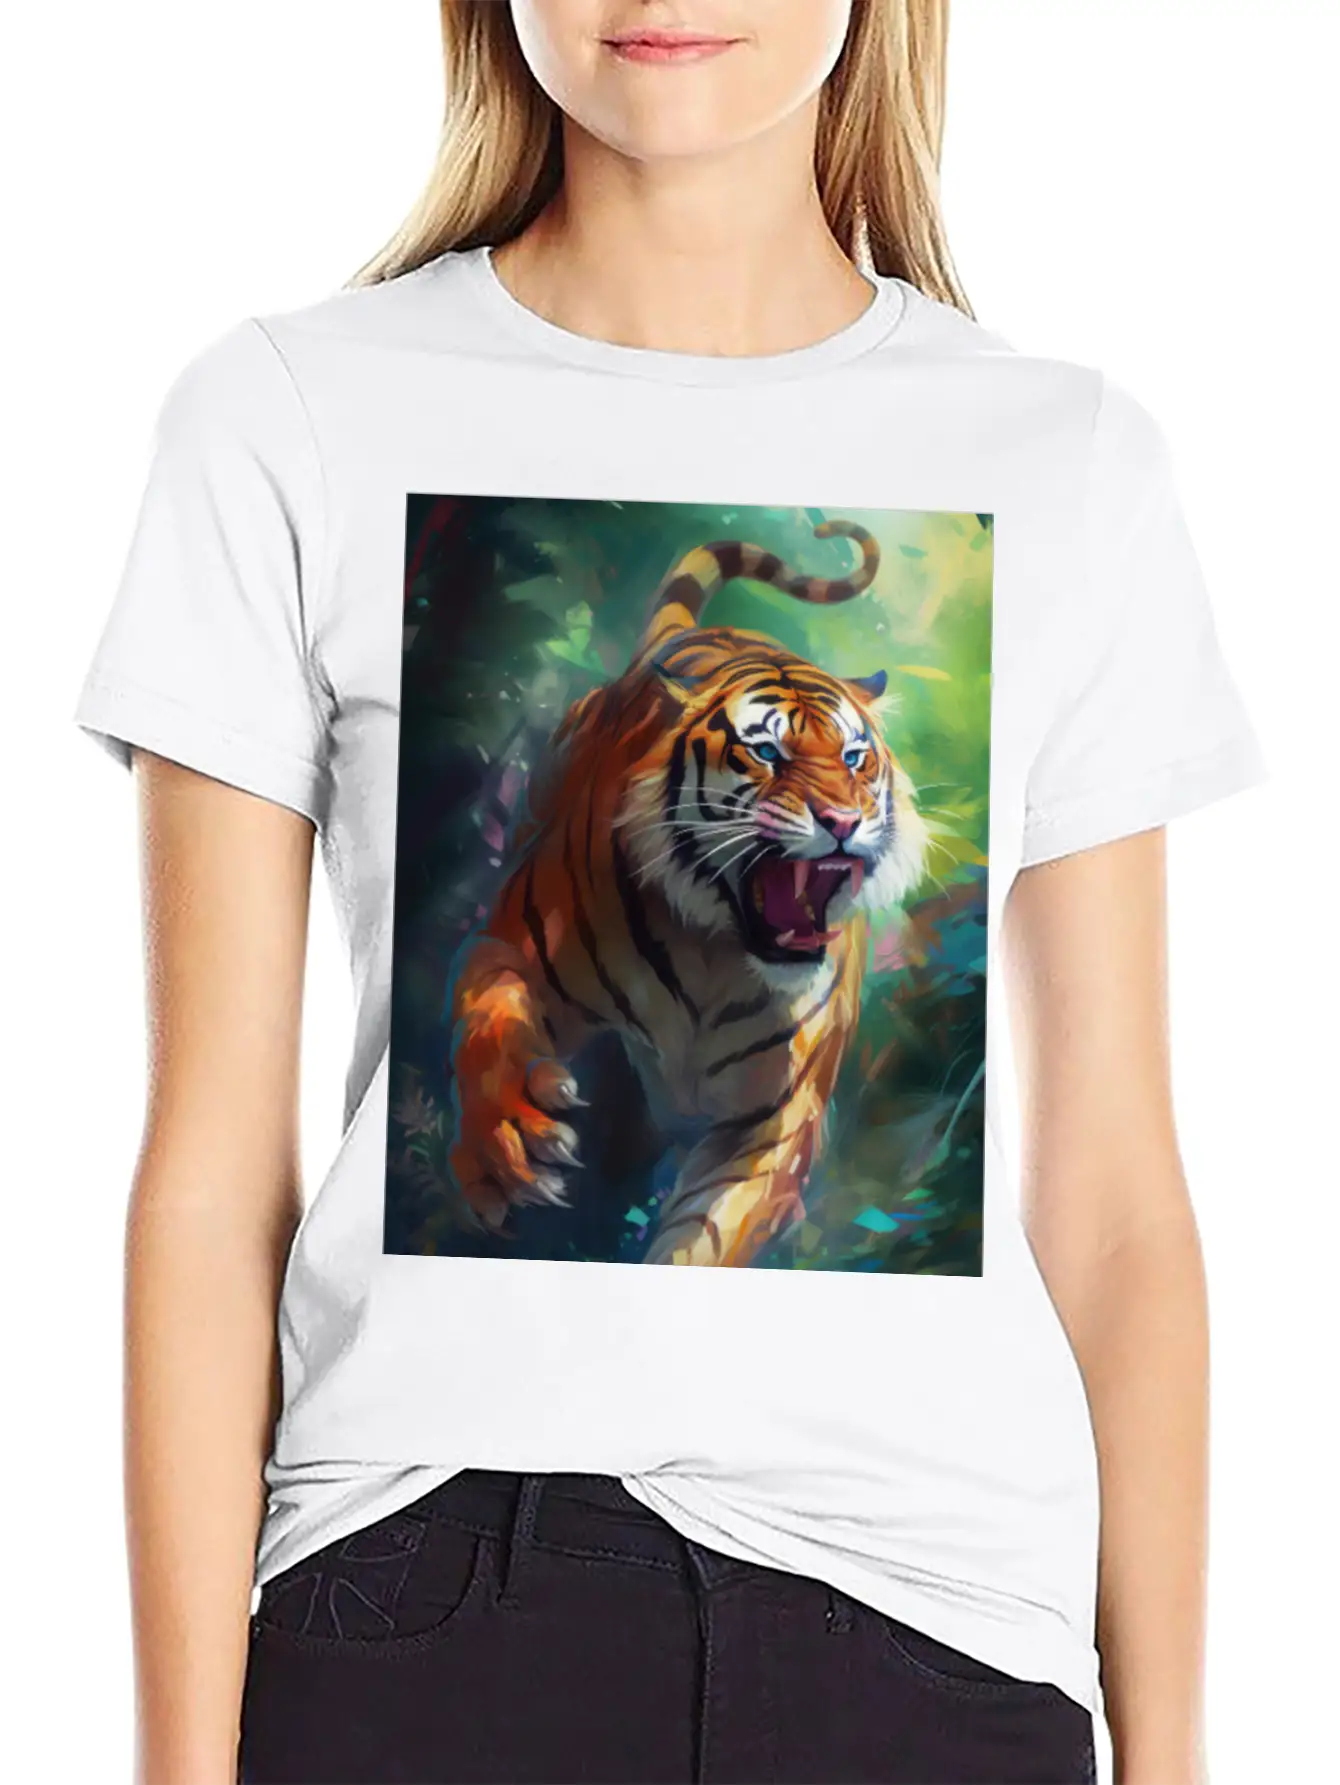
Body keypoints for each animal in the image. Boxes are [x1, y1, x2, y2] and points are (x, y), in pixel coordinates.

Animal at [446, 519, 929, 1267]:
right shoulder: (513, 944)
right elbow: (489, 1028)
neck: (715, 953)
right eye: (768, 753)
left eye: (855, 758)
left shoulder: (774, 1122)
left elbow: (707, 1232)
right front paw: (509, 1145)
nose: (844, 821)